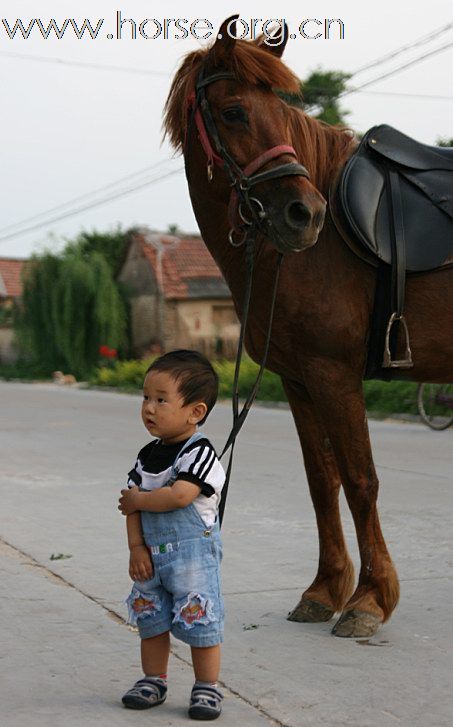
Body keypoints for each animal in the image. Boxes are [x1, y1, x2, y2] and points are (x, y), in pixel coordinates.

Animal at [162, 12, 452, 636]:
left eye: (283, 110)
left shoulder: (335, 375)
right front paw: (325, 590)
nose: (307, 214)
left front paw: (370, 599)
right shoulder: (299, 379)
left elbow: (362, 480)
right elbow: (323, 482)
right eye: (234, 111)